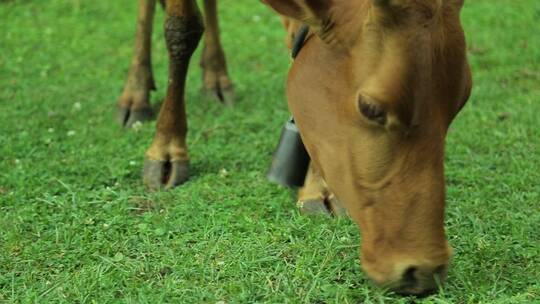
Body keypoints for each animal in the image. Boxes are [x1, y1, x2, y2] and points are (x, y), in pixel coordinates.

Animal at [116, 0, 470, 296]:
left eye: (462, 100)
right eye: (371, 108)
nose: (423, 269)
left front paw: (318, 188)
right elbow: (181, 27)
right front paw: (166, 146)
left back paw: (216, 77)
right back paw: (135, 93)